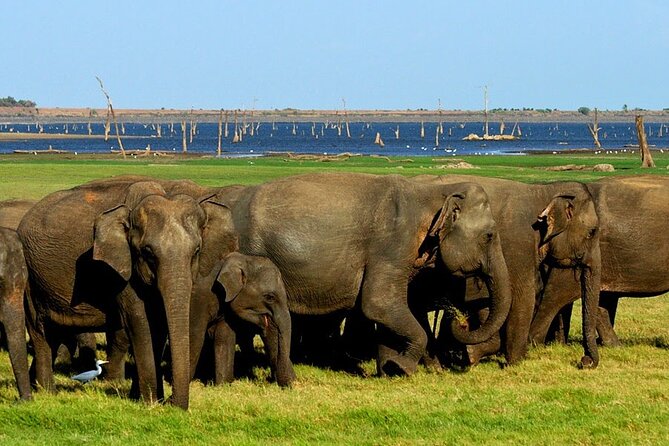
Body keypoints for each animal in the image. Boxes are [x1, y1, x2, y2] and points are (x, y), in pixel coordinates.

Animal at [17, 176, 222, 410]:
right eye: (147, 253)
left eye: (196, 251)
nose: (173, 403)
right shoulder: (121, 270)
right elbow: (141, 323)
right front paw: (150, 402)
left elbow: (159, 325)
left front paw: (142, 398)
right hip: (30, 277)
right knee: (40, 331)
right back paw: (47, 392)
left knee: (55, 332)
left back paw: (36, 385)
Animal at [215, 172, 512, 376]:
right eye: (489, 236)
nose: (460, 322)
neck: (434, 193)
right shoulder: (392, 244)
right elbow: (378, 304)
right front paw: (401, 367)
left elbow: (387, 310)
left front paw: (389, 368)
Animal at [411, 175, 601, 368]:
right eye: (592, 232)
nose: (585, 361)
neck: (542, 191)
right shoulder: (518, 243)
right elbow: (522, 296)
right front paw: (515, 362)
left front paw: (470, 354)